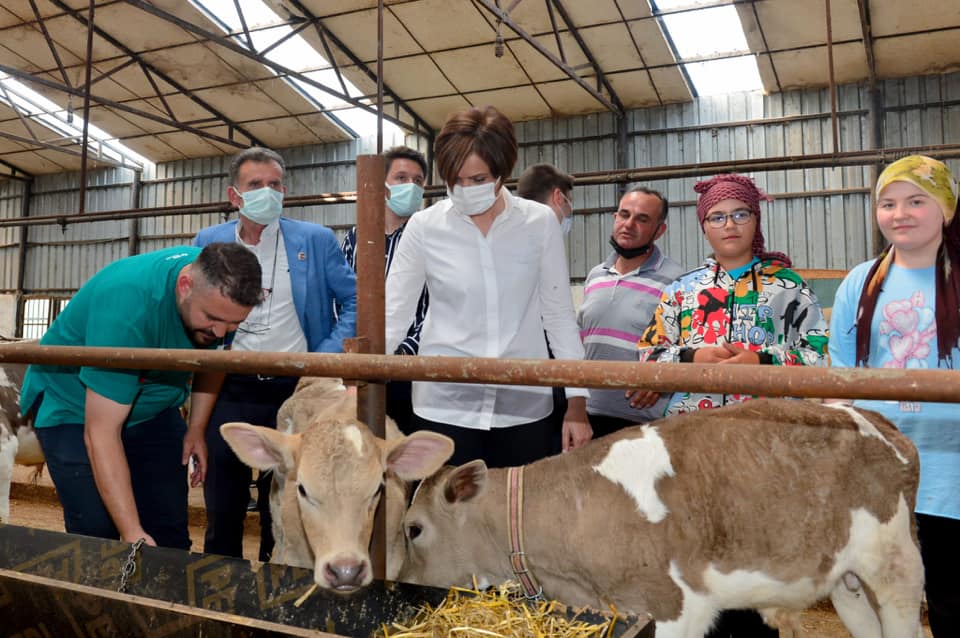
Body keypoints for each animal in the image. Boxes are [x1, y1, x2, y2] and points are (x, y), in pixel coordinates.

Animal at [396, 400, 924, 638]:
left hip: (895, 565)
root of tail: (874, 417)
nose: (403, 584)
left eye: (413, 529)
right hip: (848, 580)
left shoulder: (675, 606)